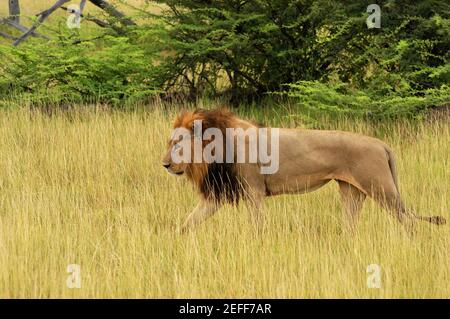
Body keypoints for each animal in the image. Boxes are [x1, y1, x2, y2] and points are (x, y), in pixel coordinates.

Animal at [163, 109, 446, 234]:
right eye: (170, 142)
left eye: (178, 144)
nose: (165, 165)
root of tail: (382, 144)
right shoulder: (218, 194)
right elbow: (189, 221)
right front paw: (174, 241)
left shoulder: (254, 191)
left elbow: (257, 225)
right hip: (352, 191)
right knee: (351, 224)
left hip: (381, 188)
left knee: (409, 222)